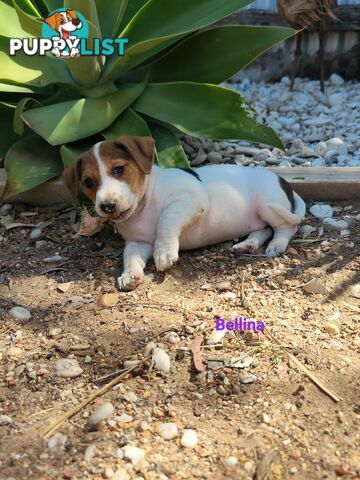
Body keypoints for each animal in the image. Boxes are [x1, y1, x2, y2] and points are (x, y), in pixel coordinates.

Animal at [63, 137, 306, 290]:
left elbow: (166, 220)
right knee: (262, 229)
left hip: (267, 204)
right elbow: (129, 256)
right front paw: (129, 274)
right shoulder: (138, 243)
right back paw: (248, 244)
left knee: (287, 227)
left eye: (118, 170)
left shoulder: (189, 200)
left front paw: (164, 252)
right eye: (88, 182)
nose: (107, 206)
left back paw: (277, 245)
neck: (143, 206)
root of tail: (283, 180)